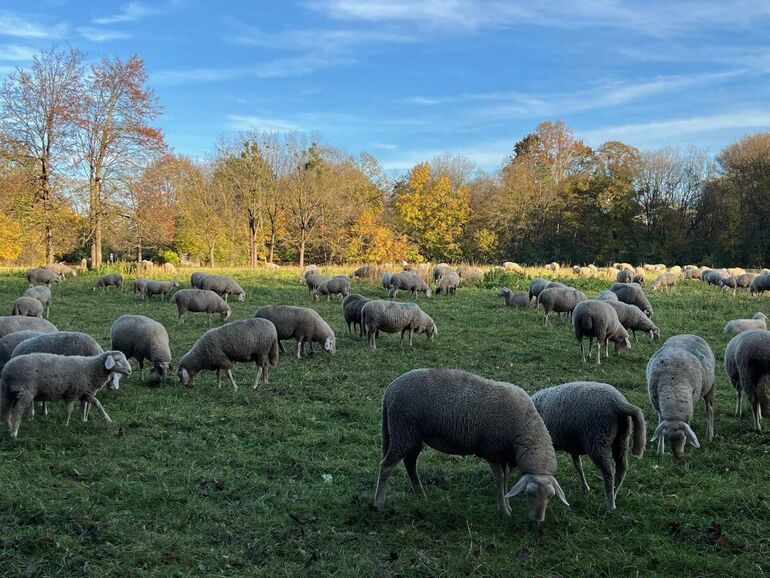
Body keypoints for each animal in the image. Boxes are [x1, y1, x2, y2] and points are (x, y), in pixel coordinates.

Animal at [0, 351, 131, 438]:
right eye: (117, 360)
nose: (130, 371)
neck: (91, 368)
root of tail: (7, 369)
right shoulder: (72, 392)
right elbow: (69, 409)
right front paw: (66, 424)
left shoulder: (83, 393)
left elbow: (97, 403)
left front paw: (108, 419)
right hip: (25, 390)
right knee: (18, 410)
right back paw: (14, 433)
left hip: (9, 391)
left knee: (6, 409)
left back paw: (9, 427)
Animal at [374, 368, 568, 524]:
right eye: (529, 494)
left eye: (550, 496)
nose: (538, 521)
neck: (525, 427)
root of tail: (390, 389)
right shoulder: (492, 451)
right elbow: (500, 480)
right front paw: (504, 511)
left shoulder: (502, 454)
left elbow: (505, 480)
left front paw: (507, 505)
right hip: (402, 430)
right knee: (386, 467)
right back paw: (378, 504)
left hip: (413, 436)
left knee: (410, 463)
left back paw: (421, 494)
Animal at [531, 382, 645, 510]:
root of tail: (619, 403)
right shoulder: (573, 446)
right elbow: (578, 465)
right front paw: (585, 487)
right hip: (621, 440)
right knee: (622, 468)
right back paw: (615, 493)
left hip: (598, 441)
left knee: (608, 474)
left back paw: (610, 504)